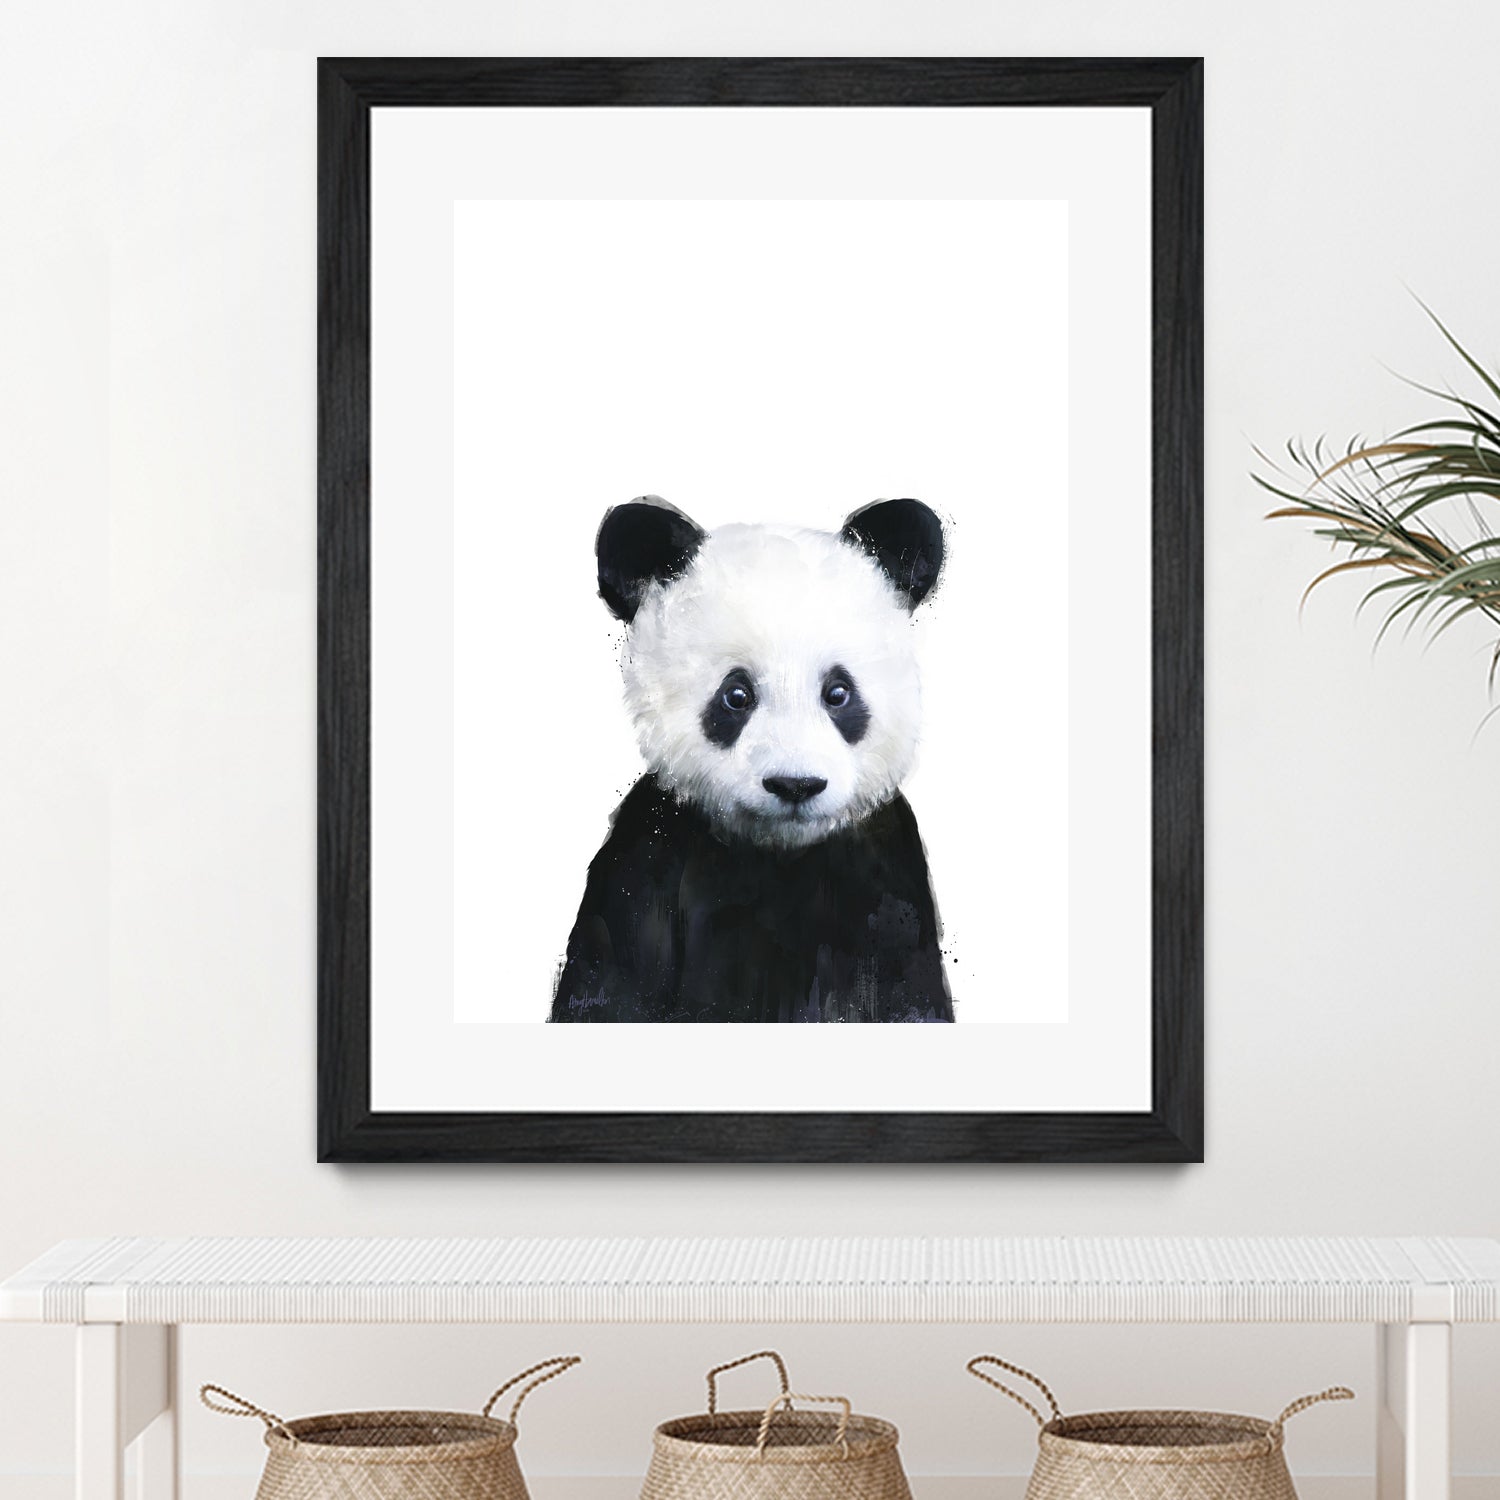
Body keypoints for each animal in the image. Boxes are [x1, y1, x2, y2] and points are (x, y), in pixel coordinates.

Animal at [549, 495, 953, 1024]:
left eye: (838, 693)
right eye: (736, 695)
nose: (795, 785)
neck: (778, 853)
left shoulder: (886, 875)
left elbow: (909, 994)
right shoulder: (647, 859)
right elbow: (610, 984)